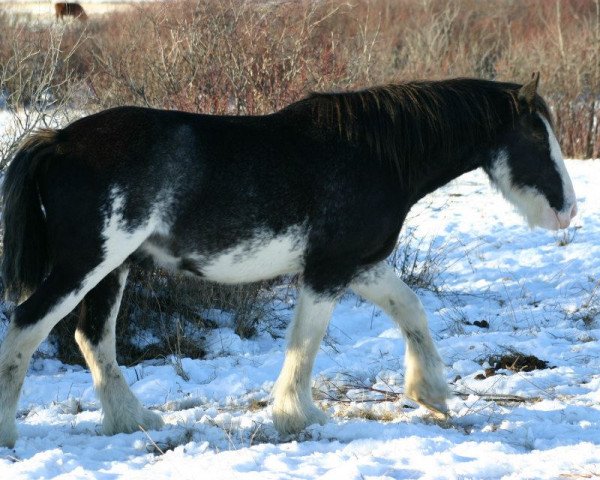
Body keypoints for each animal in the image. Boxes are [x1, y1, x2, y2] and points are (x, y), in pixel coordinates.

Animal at [0, 74, 576, 446]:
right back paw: (12, 432)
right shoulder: (327, 272)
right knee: (28, 326)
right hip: (85, 264)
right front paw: (298, 417)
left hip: (112, 267)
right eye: (535, 133)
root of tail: (57, 140)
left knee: (92, 338)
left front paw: (431, 394)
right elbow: (306, 343)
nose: (568, 209)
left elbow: (410, 309)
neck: (374, 154)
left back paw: (133, 421)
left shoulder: (359, 266)